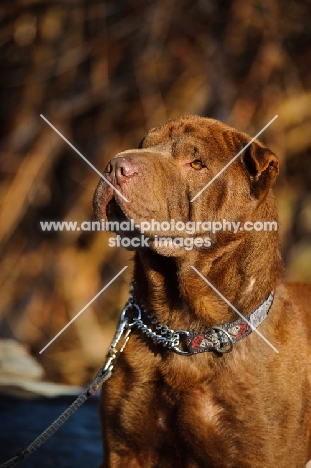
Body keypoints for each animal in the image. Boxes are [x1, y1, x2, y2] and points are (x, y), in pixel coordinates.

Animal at [94, 116, 311, 468]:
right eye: (144, 145)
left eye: (196, 163)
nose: (115, 167)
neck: (185, 329)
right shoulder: (126, 449)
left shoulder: (262, 454)